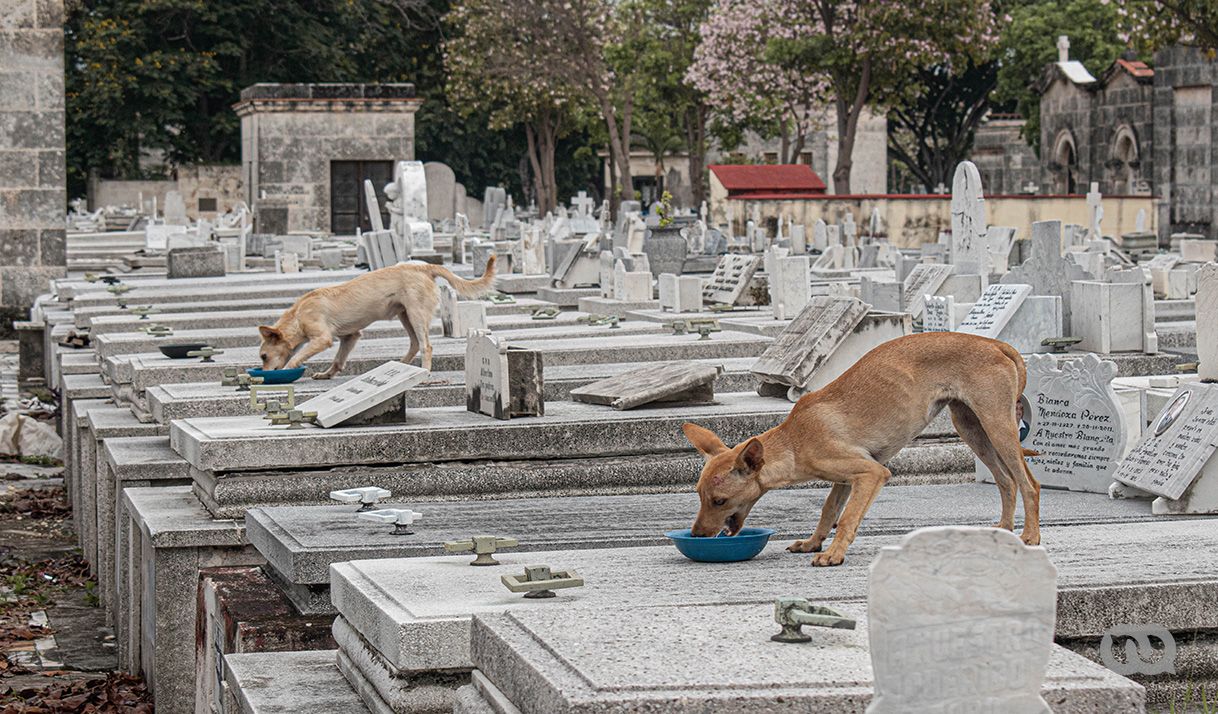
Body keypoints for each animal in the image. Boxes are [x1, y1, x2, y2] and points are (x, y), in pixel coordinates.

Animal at [259, 255, 496, 377]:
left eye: (263, 356)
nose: (262, 373)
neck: (298, 315)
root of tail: (424, 267)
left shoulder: (322, 339)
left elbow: (297, 357)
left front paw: (289, 369)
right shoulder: (350, 337)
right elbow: (338, 360)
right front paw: (327, 374)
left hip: (416, 315)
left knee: (426, 346)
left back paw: (424, 372)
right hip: (405, 316)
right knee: (414, 344)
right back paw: (403, 367)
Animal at [686, 331, 1037, 565]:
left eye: (719, 501)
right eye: (700, 496)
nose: (698, 535)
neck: (794, 441)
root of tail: (993, 343)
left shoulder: (871, 473)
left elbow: (848, 517)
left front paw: (834, 553)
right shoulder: (845, 480)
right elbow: (829, 511)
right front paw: (813, 542)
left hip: (997, 426)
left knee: (1028, 484)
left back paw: (1030, 536)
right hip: (971, 428)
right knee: (1007, 481)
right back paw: (1004, 531)